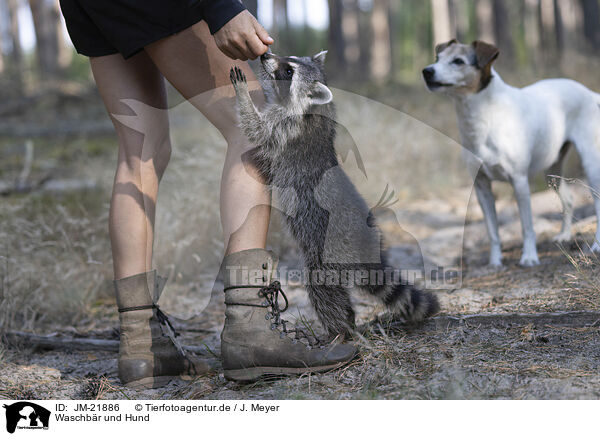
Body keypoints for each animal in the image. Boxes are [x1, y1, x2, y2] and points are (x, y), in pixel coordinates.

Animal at [227, 51, 438, 338]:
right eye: (289, 59)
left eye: (289, 71)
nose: (265, 55)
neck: (313, 108)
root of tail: (366, 252)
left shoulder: (284, 128)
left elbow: (256, 129)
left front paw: (242, 95)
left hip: (329, 252)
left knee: (324, 290)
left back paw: (339, 329)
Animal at [422, 40, 600, 266]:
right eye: (438, 58)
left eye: (458, 61)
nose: (427, 71)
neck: (485, 117)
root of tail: (589, 93)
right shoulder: (482, 187)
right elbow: (492, 231)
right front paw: (495, 261)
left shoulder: (519, 181)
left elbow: (527, 226)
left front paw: (529, 257)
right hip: (551, 169)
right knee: (568, 200)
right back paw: (564, 235)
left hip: (591, 163)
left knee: (597, 202)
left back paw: (596, 245)